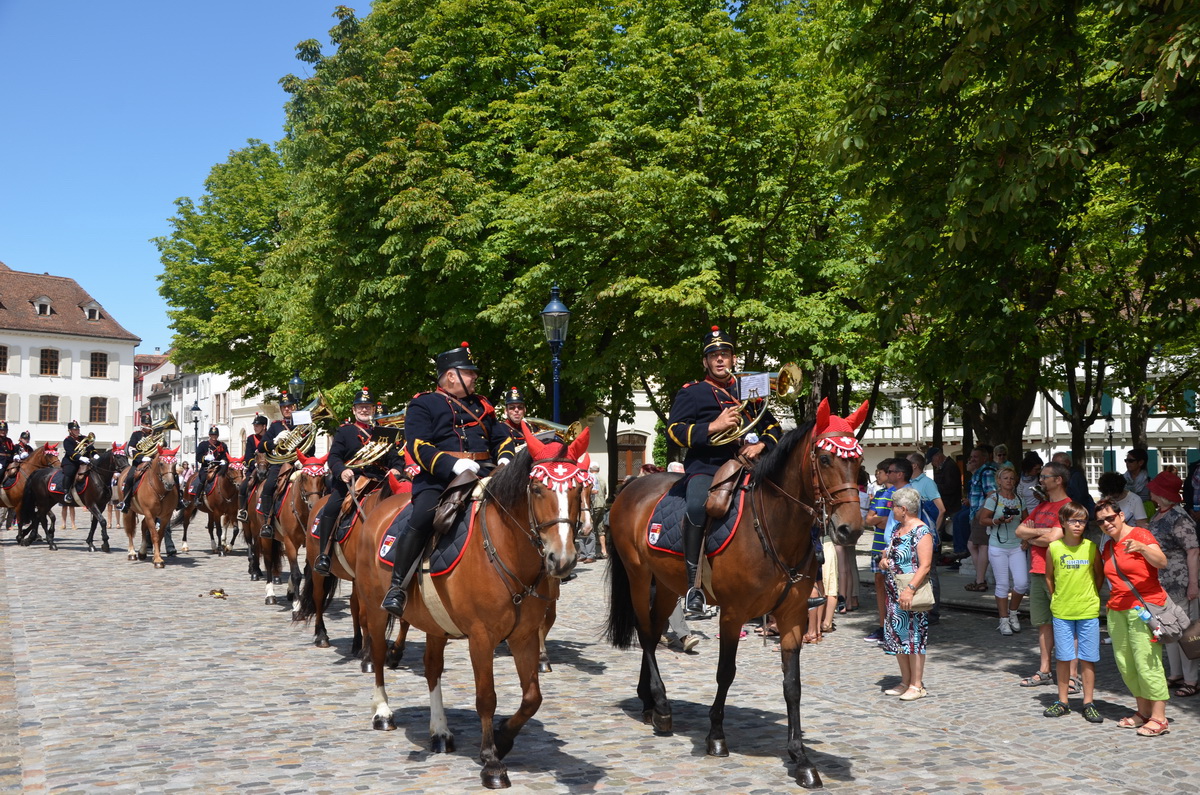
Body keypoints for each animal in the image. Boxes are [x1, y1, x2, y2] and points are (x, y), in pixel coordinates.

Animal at [349, 425, 590, 790]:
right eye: (537, 489)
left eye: (578, 488)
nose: (561, 559)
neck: (506, 550)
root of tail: (378, 510)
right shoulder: (481, 638)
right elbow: (486, 697)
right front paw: (491, 761)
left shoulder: (523, 636)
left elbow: (532, 697)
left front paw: (504, 737)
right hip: (377, 610)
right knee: (377, 656)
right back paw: (383, 712)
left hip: (436, 624)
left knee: (432, 668)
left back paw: (440, 731)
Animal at [604, 399, 867, 789]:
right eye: (824, 459)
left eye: (859, 461)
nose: (850, 529)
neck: (775, 525)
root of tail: (630, 487)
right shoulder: (732, 614)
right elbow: (725, 672)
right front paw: (716, 736)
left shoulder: (792, 616)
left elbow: (793, 685)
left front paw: (801, 758)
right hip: (638, 577)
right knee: (647, 635)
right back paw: (662, 707)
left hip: (666, 585)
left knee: (652, 628)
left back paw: (649, 701)